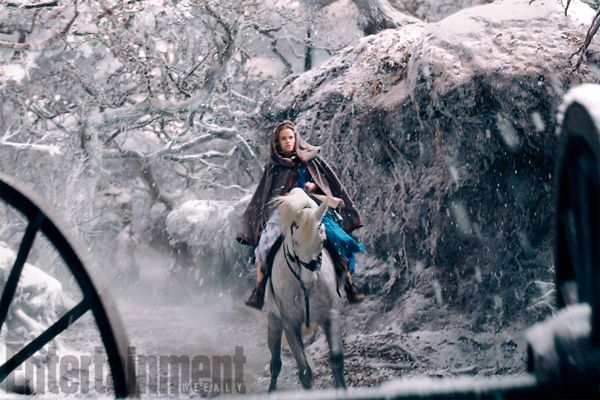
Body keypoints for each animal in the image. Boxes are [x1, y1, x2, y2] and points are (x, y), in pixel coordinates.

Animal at [264, 187, 346, 391]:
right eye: (296, 242)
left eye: (323, 241)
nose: (309, 281)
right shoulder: (289, 323)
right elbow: (305, 371)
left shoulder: (331, 315)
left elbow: (336, 360)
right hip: (273, 321)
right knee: (275, 362)